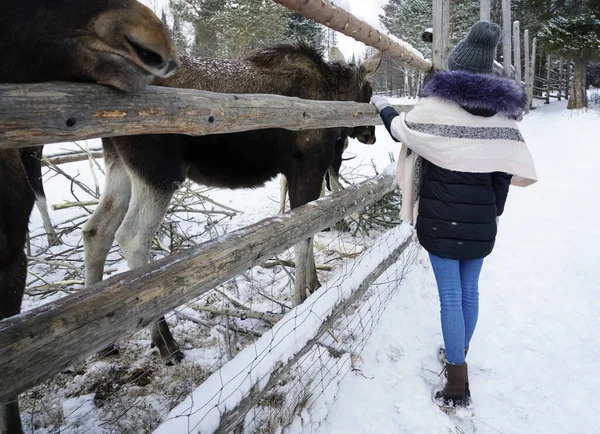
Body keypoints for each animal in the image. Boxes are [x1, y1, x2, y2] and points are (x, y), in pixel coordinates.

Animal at [82, 42, 382, 362]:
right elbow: (305, 235)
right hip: (159, 173)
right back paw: (165, 341)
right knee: (132, 237)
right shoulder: (307, 169)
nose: (370, 135)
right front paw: (301, 299)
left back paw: (103, 343)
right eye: (368, 91)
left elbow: (311, 233)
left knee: (96, 230)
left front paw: (314, 285)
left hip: (119, 164)